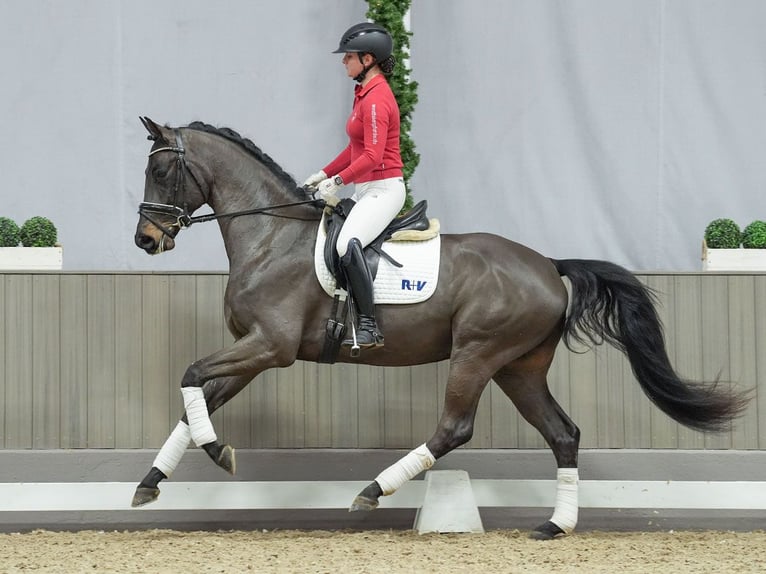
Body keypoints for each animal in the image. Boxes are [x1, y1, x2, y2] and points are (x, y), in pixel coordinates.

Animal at [132, 117, 752, 540]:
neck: (270, 236)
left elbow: (191, 377)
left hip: (477, 354)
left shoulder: (270, 347)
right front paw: (151, 481)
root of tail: (548, 265)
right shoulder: (253, 349)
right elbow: (196, 400)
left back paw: (370, 491)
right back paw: (556, 526)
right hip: (519, 368)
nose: (146, 239)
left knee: (455, 428)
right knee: (563, 434)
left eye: (161, 170)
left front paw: (219, 454)